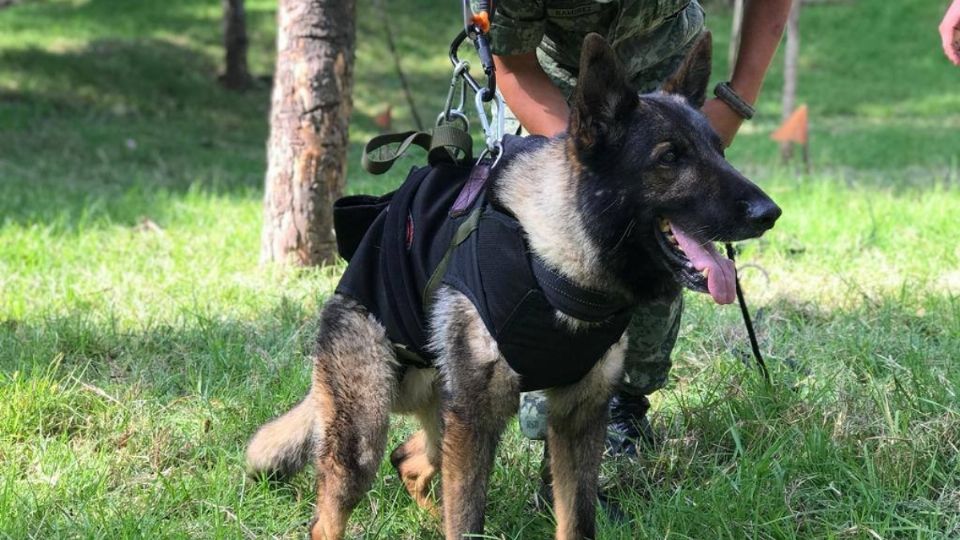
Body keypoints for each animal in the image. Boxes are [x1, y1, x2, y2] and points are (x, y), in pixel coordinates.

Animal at [246, 31, 780, 536]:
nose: (769, 213)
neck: (558, 262)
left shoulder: (578, 421)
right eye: (670, 158)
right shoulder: (478, 421)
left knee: (410, 458)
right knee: (332, 514)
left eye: (719, 150)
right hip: (367, 435)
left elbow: (576, 520)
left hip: (442, 423)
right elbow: (466, 525)